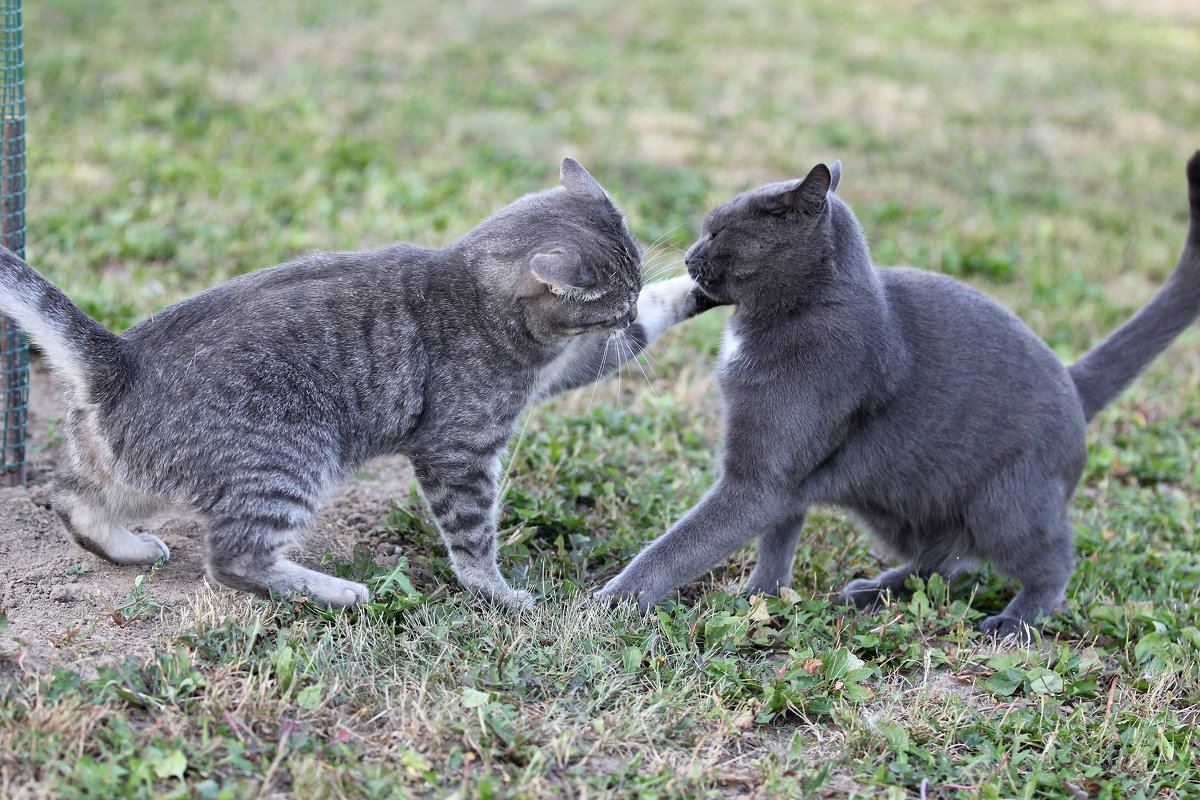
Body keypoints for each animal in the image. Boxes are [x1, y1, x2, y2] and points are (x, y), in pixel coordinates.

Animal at [0, 160, 705, 614]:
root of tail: (119, 359)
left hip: (133, 476)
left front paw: (702, 285)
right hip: (288, 462)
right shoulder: (459, 450)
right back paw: (337, 592)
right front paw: (497, 593)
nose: (627, 310)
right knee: (231, 558)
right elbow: (472, 537)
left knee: (71, 498)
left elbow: (661, 313)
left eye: (635, 291)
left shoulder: (566, 367)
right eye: (616, 301)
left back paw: (128, 547)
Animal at [597, 148, 1200, 638]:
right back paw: (874, 590)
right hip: (897, 501)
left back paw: (1015, 621)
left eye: (719, 232)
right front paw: (758, 598)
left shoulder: (759, 479)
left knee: (1050, 562)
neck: (796, 312)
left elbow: (681, 546)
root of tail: (1074, 383)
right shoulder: (787, 476)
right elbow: (777, 538)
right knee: (944, 557)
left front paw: (610, 602)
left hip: (1005, 501)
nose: (688, 255)